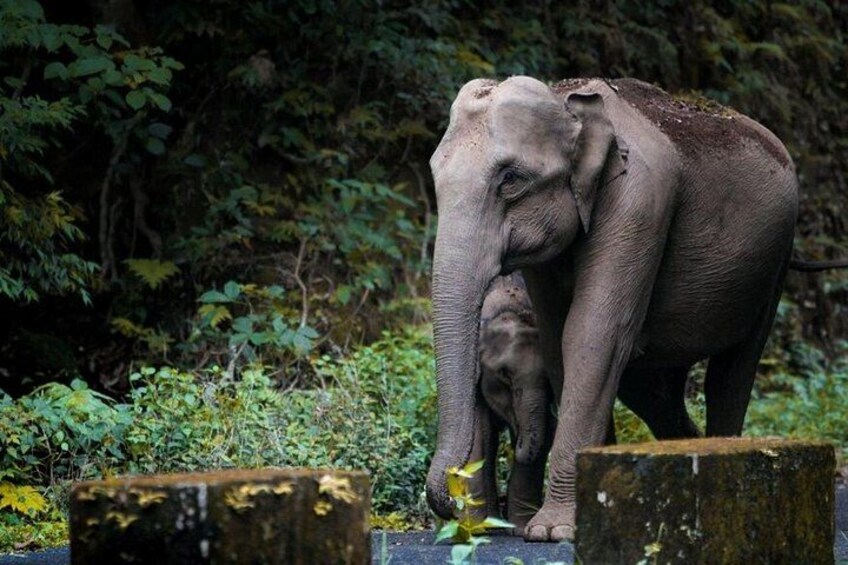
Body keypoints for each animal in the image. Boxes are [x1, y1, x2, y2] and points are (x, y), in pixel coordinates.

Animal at [474, 273, 553, 532]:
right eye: (504, 374)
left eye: (549, 378)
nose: (516, 436)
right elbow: (485, 435)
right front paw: (492, 525)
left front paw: (521, 527)